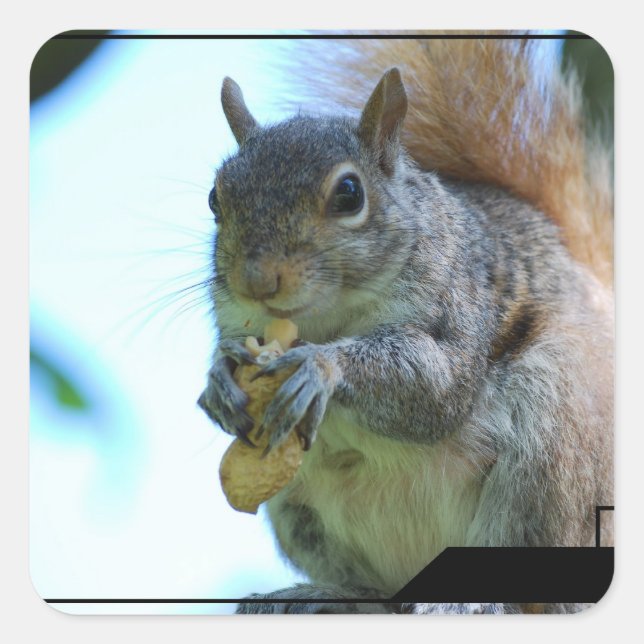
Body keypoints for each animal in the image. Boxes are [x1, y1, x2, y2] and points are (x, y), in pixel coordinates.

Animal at [198, 35, 614, 615]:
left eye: (349, 193)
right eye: (216, 197)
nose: (256, 280)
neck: (329, 315)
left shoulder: (459, 307)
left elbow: (436, 388)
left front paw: (320, 366)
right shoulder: (236, 317)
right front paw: (218, 379)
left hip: (556, 446)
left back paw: (474, 603)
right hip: (301, 511)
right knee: (378, 591)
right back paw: (322, 595)